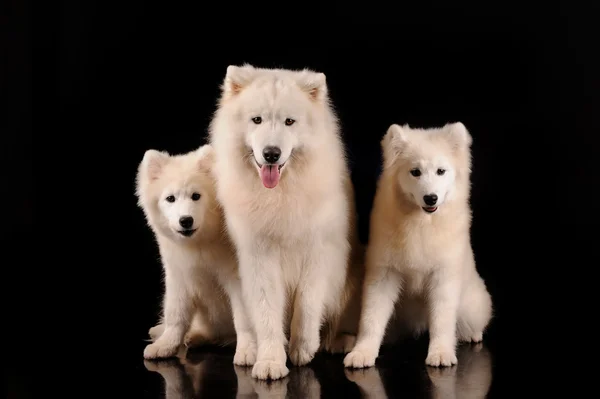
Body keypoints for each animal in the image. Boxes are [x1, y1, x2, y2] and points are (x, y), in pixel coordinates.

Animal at [135, 145, 256, 368]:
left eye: (196, 196)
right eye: (170, 198)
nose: (186, 220)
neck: (199, 244)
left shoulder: (237, 278)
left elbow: (244, 318)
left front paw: (247, 350)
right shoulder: (178, 276)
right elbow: (175, 314)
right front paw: (165, 345)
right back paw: (193, 336)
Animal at [209, 64, 358, 380]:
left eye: (290, 122)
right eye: (257, 119)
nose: (271, 153)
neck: (279, 196)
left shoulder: (318, 252)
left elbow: (308, 304)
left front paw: (304, 346)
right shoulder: (260, 258)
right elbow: (267, 314)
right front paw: (270, 362)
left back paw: (339, 341)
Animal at [342, 123, 492, 370]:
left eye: (441, 171)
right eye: (415, 172)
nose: (431, 198)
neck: (421, 223)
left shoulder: (443, 276)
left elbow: (442, 321)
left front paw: (440, 353)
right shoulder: (383, 274)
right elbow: (371, 318)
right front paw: (362, 352)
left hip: (471, 306)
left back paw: (472, 334)